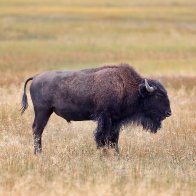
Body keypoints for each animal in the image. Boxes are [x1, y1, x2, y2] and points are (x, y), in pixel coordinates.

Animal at [21, 65, 172, 154]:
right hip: (43, 111)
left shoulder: (116, 121)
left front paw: (115, 152)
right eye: (158, 95)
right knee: (37, 130)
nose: (169, 112)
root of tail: (35, 77)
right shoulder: (105, 117)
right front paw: (102, 151)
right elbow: (101, 136)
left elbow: (114, 138)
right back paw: (39, 153)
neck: (125, 86)